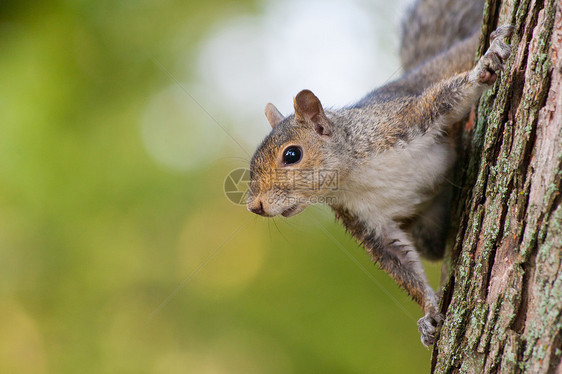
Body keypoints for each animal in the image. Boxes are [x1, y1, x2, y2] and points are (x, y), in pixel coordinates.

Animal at [245, 0, 512, 346]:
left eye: (292, 155)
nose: (254, 206)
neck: (353, 175)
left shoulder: (401, 121)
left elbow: (446, 98)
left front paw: (484, 67)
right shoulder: (365, 221)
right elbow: (399, 261)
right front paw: (429, 313)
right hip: (425, 229)